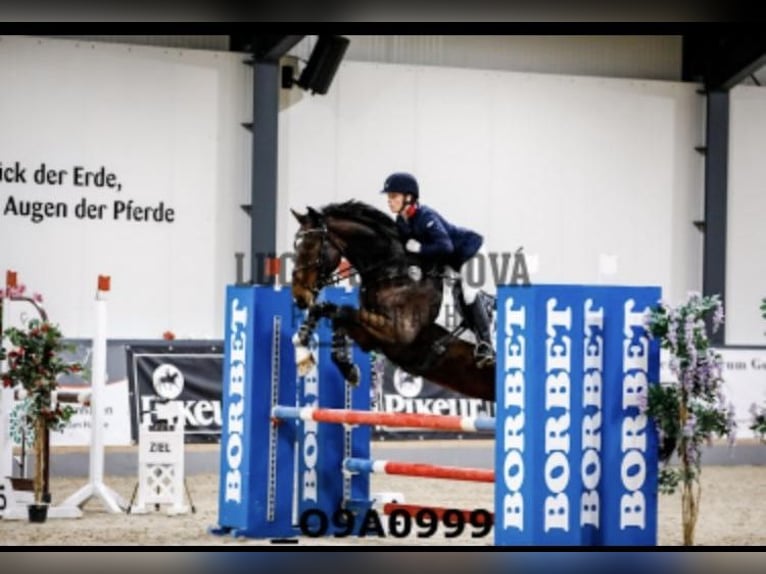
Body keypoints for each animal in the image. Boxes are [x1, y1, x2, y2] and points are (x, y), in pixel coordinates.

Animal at [290, 200, 498, 402]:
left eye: (309, 246)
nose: (299, 295)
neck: (394, 274)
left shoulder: (398, 333)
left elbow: (342, 310)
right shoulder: (375, 338)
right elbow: (329, 310)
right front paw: (317, 354)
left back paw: (485, 351)